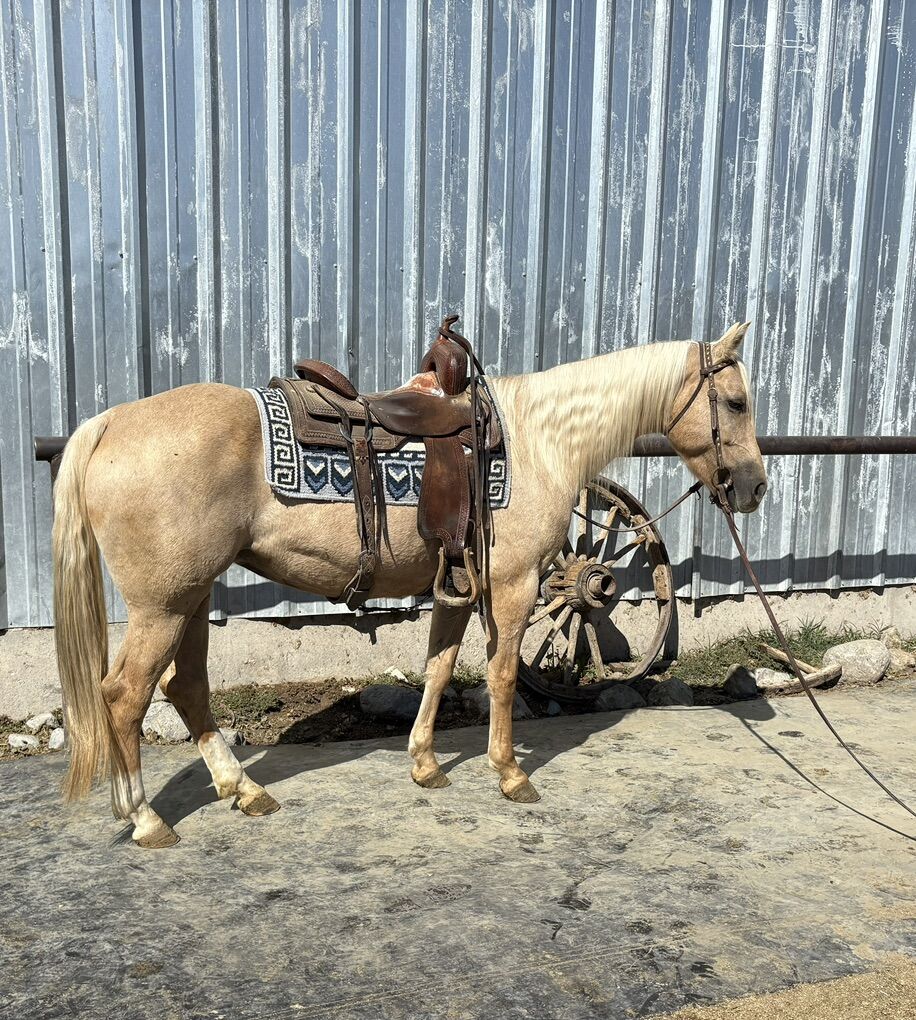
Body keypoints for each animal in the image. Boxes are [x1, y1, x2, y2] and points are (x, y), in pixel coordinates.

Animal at [51, 321, 766, 848]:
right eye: (735, 402)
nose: (754, 488)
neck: (538, 441)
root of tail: (110, 423)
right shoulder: (512, 586)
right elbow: (503, 674)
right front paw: (509, 773)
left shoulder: (457, 584)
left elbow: (439, 668)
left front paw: (425, 764)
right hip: (165, 604)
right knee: (125, 695)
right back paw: (145, 818)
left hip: (192, 597)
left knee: (186, 688)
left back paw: (243, 791)